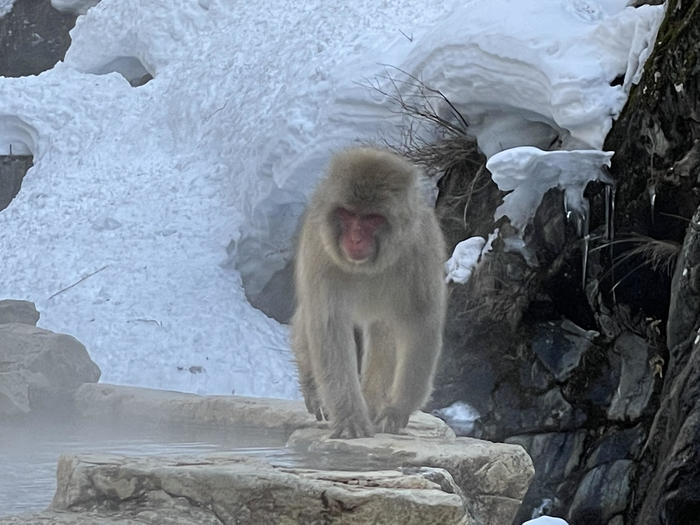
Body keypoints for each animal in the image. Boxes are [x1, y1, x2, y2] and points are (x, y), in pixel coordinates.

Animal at [292, 147, 448, 438]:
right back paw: (313, 385)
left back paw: (373, 401)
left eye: (372, 218)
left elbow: (420, 321)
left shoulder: (421, 250)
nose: (354, 239)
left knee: (384, 326)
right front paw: (349, 418)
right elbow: (328, 326)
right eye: (348, 214)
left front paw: (397, 410)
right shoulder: (320, 254)